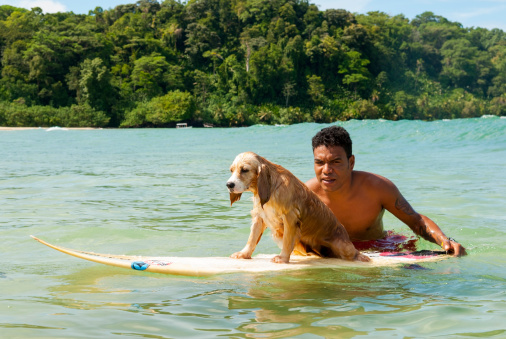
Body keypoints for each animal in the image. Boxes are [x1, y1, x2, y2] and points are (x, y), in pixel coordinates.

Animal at [227, 152, 370, 266]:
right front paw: (244, 254)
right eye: (231, 170)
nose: (229, 184)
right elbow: (252, 238)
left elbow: (287, 240)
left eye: (244, 170)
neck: (272, 188)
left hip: (342, 246)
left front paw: (282, 258)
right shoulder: (260, 217)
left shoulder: (290, 216)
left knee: (353, 253)